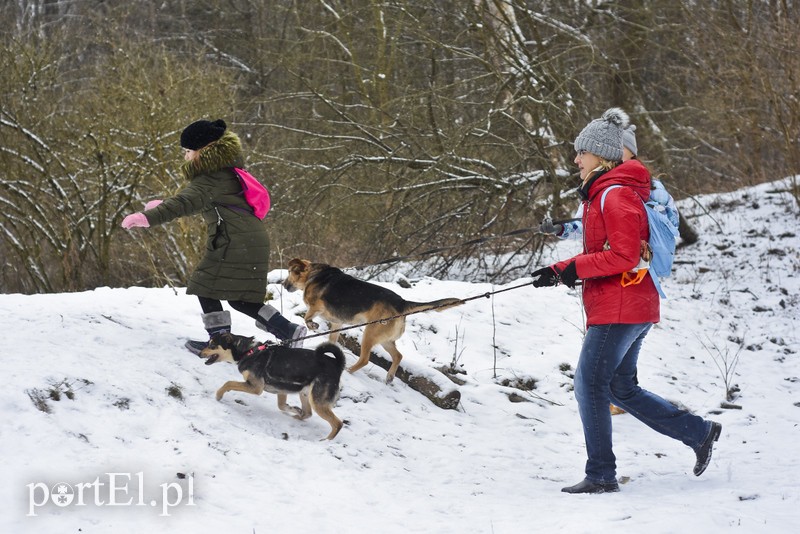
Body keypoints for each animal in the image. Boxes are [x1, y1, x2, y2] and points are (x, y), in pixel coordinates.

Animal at [198, 332, 346, 442]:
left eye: (212, 345)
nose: (199, 354)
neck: (250, 351)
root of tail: (337, 365)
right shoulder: (281, 389)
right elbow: (282, 405)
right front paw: (294, 409)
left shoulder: (256, 387)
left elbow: (228, 383)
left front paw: (219, 395)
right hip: (305, 394)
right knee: (307, 413)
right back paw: (297, 416)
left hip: (317, 401)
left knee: (338, 423)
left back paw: (326, 441)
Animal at [282, 260, 462, 384]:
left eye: (289, 272)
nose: (283, 285)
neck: (313, 275)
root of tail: (402, 302)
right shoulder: (337, 324)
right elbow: (331, 340)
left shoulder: (316, 307)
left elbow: (306, 317)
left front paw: (312, 325)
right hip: (385, 339)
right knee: (398, 356)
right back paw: (389, 376)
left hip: (369, 334)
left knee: (365, 359)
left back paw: (349, 370)